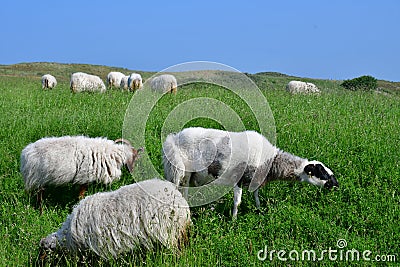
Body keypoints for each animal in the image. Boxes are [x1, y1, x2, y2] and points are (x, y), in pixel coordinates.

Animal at [162, 128, 338, 220]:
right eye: (321, 172)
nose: (336, 185)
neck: (270, 161)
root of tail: (175, 137)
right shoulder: (238, 179)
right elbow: (237, 202)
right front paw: (233, 220)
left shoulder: (256, 179)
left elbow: (256, 196)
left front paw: (259, 211)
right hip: (182, 171)